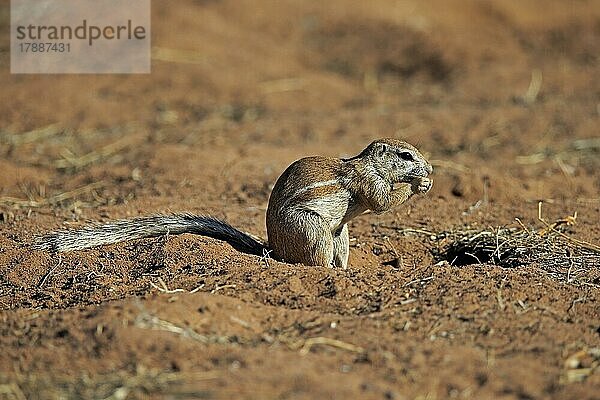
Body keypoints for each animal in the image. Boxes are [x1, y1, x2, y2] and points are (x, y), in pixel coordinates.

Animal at [35, 138, 432, 268]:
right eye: (406, 155)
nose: (429, 167)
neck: (367, 163)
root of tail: (272, 249)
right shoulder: (368, 182)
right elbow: (382, 201)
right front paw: (418, 184)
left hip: (340, 234)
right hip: (314, 229)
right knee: (313, 263)